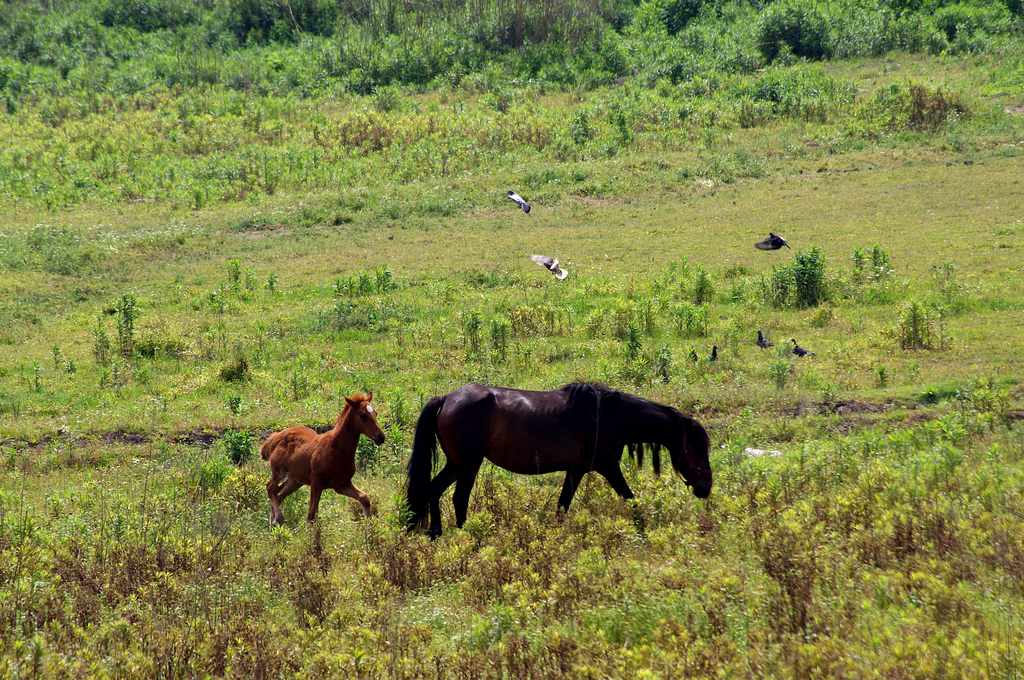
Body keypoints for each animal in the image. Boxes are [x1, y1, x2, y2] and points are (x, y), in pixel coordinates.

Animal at [260, 393, 385, 524]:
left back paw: (274, 522)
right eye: (363, 415)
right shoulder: (317, 483)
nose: (381, 437)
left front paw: (369, 525)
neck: (337, 450)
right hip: (279, 472)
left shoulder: (342, 484)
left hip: (295, 481)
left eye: (375, 413)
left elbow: (365, 498)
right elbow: (311, 516)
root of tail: (274, 438)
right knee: (270, 488)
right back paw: (278, 518)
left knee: (278, 495)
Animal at [403, 385, 708, 540]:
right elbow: (630, 498)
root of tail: (447, 398)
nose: (706, 487)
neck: (609, 415)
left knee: (437, 492)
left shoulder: (576, 470)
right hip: (466, 463)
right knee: (453, 496)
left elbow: (562, 505)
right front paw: (641, 531)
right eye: (696, 448)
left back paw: (440, 532)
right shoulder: (608, 468)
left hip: (460, 464)